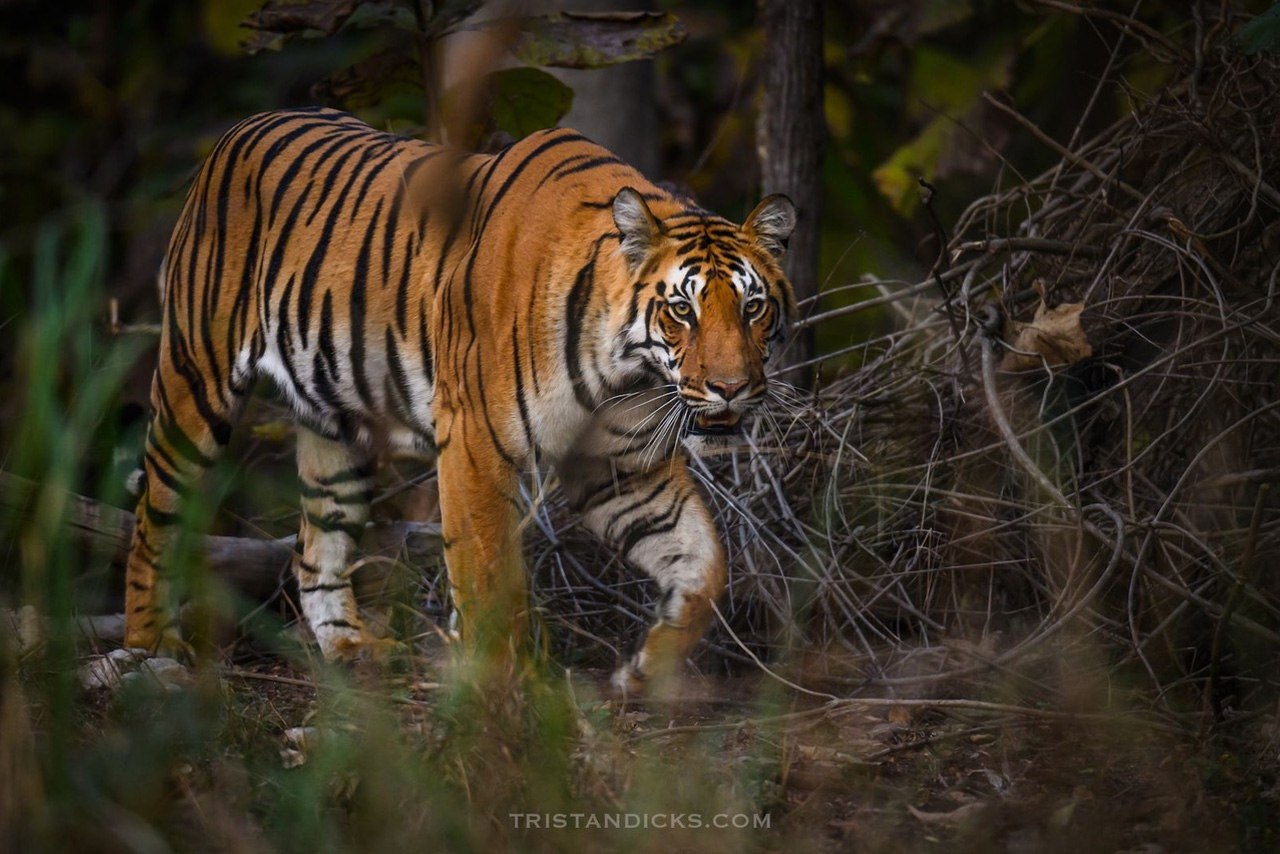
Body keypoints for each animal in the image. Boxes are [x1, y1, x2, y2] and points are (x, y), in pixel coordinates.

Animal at [124, 106, 797, 694]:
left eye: (753, 307)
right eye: (682, 309)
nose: (731, 388)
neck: (624, 369)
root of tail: (241, 127)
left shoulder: (618, 467)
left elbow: (704, 564)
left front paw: (644, 671)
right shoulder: (475, 443)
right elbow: (487, 575)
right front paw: (505, 694)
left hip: (336, 428)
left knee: (314, 551)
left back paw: (352, 648)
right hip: (194, 380)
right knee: (154, 516)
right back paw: (150, 651)